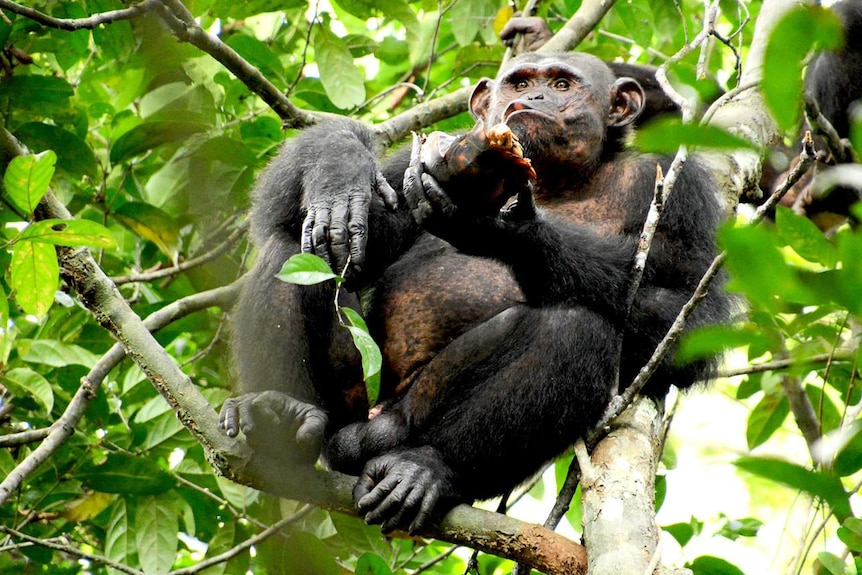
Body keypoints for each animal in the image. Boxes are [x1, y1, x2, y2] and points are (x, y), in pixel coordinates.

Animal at [219, 51, 732, 532]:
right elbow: (288, 214)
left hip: (404, 421)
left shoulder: (678, 184)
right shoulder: (406, 170)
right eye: (519, 83)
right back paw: (278, 414)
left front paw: (500, 230)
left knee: (577, 326)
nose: (534, 98)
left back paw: (426, 469)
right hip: (351, 404)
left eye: (562, 84)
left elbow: (691, 309)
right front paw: (340, 173)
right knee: (292, 251)